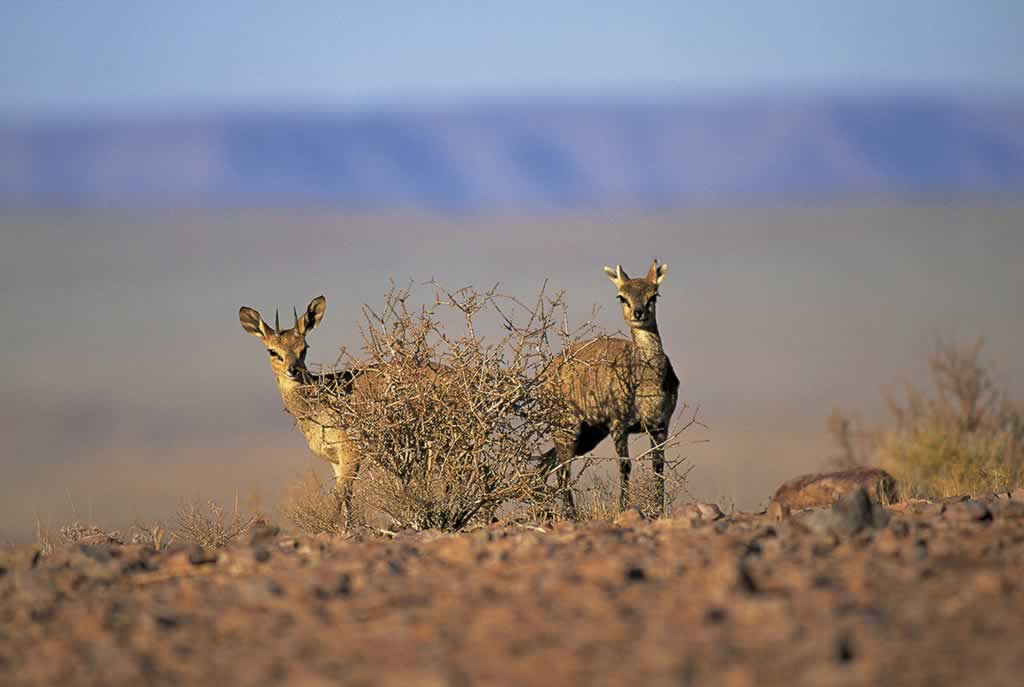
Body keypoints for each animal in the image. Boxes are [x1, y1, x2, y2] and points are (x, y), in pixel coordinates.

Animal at [544, 262, 679, 516]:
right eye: (621, 297)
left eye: (653, 295)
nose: (639, 313)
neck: (647, 381)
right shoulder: (619, 425)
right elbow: (625, 466)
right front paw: (622, 508)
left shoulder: (659, 425)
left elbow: (658, 466)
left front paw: (658, 510)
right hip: (567, 428)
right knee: (562, 468)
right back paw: (570, 513)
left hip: (590, 434)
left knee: (547, 462)